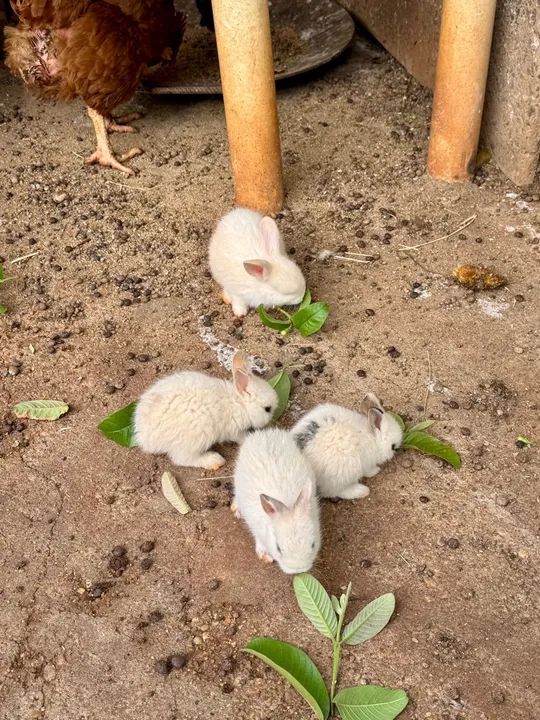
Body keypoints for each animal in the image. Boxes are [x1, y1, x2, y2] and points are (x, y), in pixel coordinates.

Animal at [134, 352, 278, 470]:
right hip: (196, 438)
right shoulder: (233, 430)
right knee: (181, 459)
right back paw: (214, 460)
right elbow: (240, 437)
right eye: (267, 409)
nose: (271, 420)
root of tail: (145, 439)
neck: (240, 403)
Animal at [233, 427, 321, 574]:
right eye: (278, 548)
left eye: (313, 544)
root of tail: (264, 433)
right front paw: (264, 555)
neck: (288, 504)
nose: (298, 570)